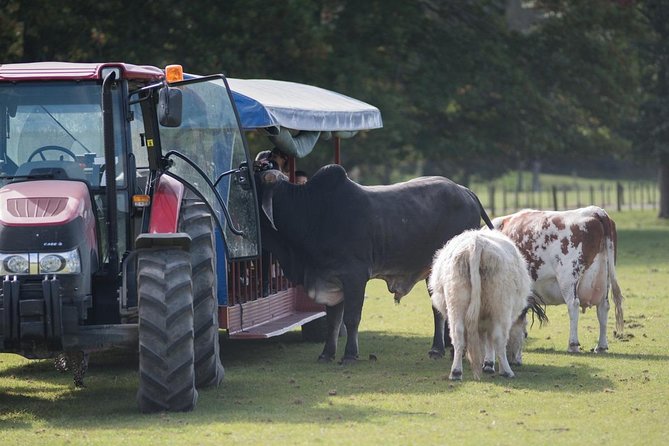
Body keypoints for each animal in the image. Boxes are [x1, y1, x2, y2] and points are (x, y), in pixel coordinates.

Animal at [256, 166, 490, 364]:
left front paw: (350, 355)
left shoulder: (354, 275)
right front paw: (326, 354)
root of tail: (465, 191)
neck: (311, 212)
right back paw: (440, 349)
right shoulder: (330, 278)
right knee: (440, 307)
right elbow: (333, 320)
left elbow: (351, 318)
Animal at [428, 230, 532, 380]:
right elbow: (490, 340)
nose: (518, 361)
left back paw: (456, 372)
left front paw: (486, 363)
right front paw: (489, 363)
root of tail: (476, 244)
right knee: (499, 338)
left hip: (456, 301)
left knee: (458, 335)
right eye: (525, 334)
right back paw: (506, 371)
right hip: (500, 306)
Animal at [494, 204, 624, 354]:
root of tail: (596, 211)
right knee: (603, 307)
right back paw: (601, 346)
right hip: (604, 279)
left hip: (568, 278)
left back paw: (573, 344)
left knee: (573, 305)